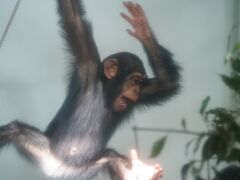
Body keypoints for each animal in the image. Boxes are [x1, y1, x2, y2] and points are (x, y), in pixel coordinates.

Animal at [0, 0, 180, 179]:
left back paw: (139, 173)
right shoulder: (87, 62)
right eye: (135, 80)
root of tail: (54, 170)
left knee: (111, 157)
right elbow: (72, 16)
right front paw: (140, 25)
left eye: (141, 84)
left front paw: (143, 30)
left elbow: (166, 83)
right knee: (15, 130)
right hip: (42, 149)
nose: (136, 90)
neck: (106, 93)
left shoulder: (144, 94)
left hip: (84, 169)